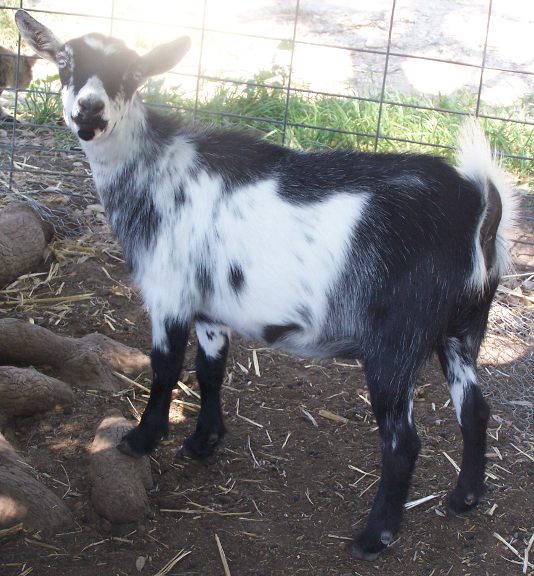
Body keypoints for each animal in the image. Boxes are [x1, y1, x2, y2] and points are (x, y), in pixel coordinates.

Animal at [17, 11, 520, 564]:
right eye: (65, 62)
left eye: (132, 73)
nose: (89, 109)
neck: (155, 172)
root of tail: (480, 208)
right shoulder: (210, 307)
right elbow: (210, 370)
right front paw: (203, 441)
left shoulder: (169, 294)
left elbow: (165, 369)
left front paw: (141, 439)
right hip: (463, 328)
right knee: (475, 409)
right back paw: (465, 497)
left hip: (395, 342)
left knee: (403, 441)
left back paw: (374, 536)